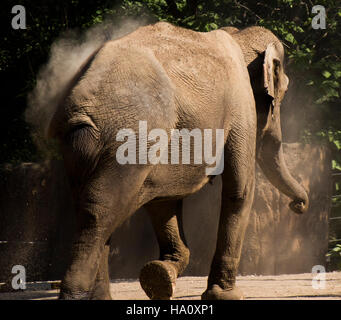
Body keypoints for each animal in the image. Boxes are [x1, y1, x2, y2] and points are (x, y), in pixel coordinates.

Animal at [46, 21, 310, 300]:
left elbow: (164, 199)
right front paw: (225, 296)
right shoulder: (241, 107)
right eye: (283, 92)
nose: (298, 206)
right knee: (100, 210)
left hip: (79, 148)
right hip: (127, 138)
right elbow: (239, 190)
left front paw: (160, 275)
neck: (238, 35)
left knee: (95, 208)